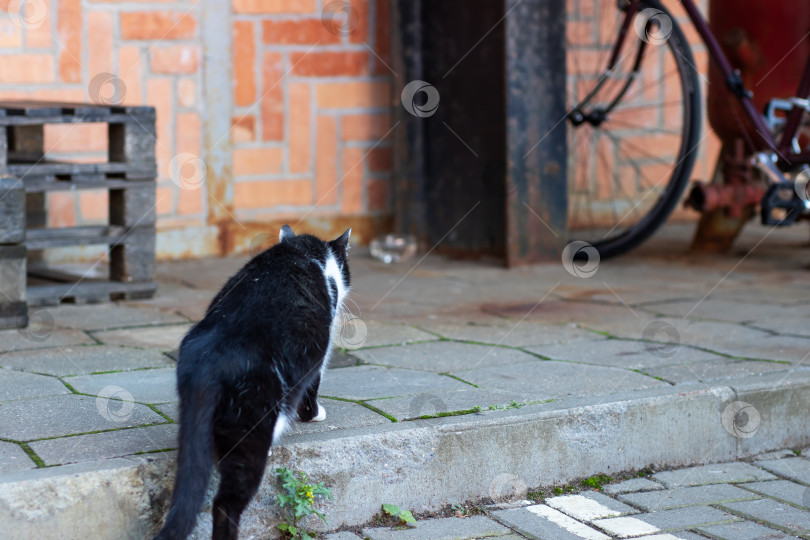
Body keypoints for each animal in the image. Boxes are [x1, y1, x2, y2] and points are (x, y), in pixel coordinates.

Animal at [153, 225, 348, 540]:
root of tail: (212, 357)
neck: (302, 251)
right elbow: (312, 387)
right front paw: (314, 414)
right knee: (226, 502)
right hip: (250, 422)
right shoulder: (316, 356)